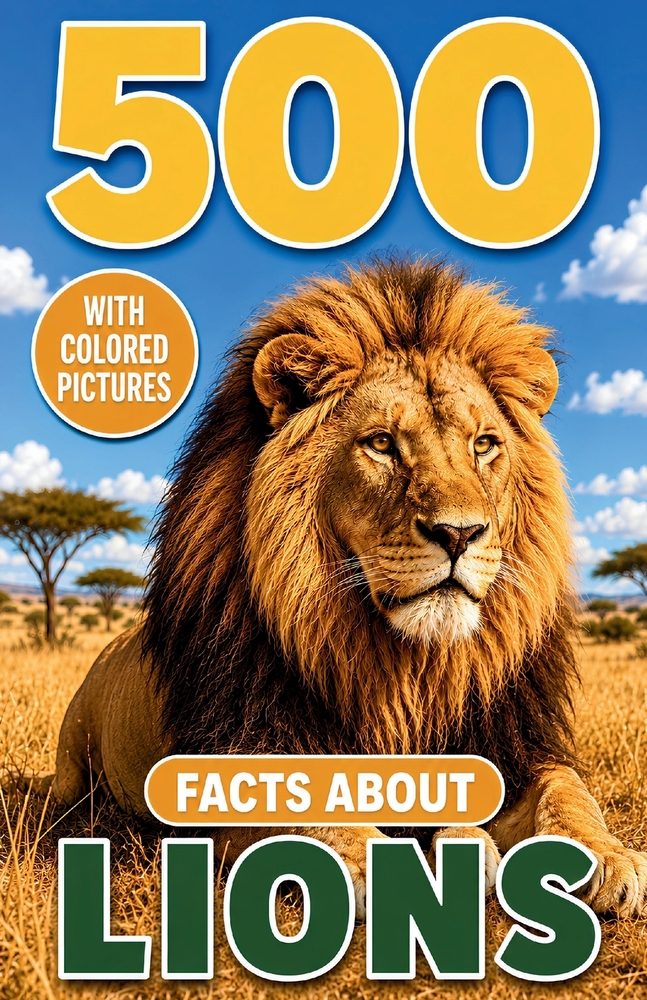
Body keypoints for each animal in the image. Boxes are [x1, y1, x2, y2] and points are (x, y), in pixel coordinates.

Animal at [29, 256, 647, 917]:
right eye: (381, 443)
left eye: (484, 444)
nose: (459, 533)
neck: (408, 672)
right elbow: (319, 818)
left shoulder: (512, 747)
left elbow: (568, 789)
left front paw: (609, 857)